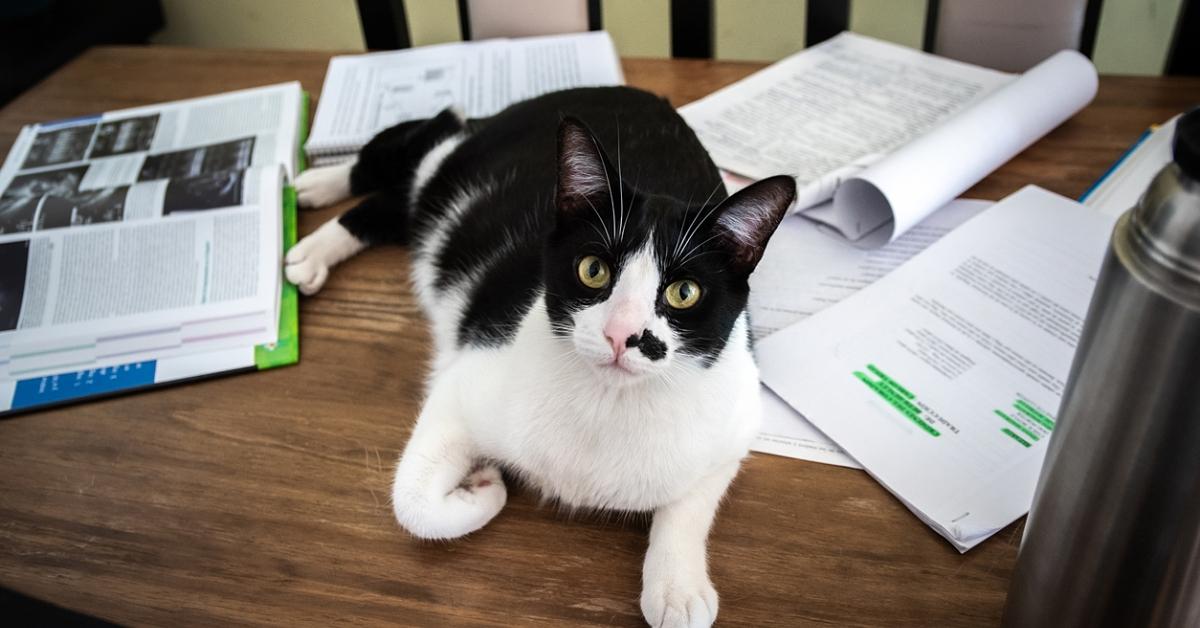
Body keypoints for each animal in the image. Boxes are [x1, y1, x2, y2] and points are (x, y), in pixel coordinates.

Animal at [286, 87, 796, 628]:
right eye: (593, 269)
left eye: (684, 292)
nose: (621, 335)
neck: (608, 403)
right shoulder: (465, 381)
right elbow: (415, 505)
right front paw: (482, 488)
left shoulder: (735, 418)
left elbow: (692, 502)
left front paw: (677, 587)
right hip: (449, 163)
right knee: (415, 147)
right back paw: (313, 205)